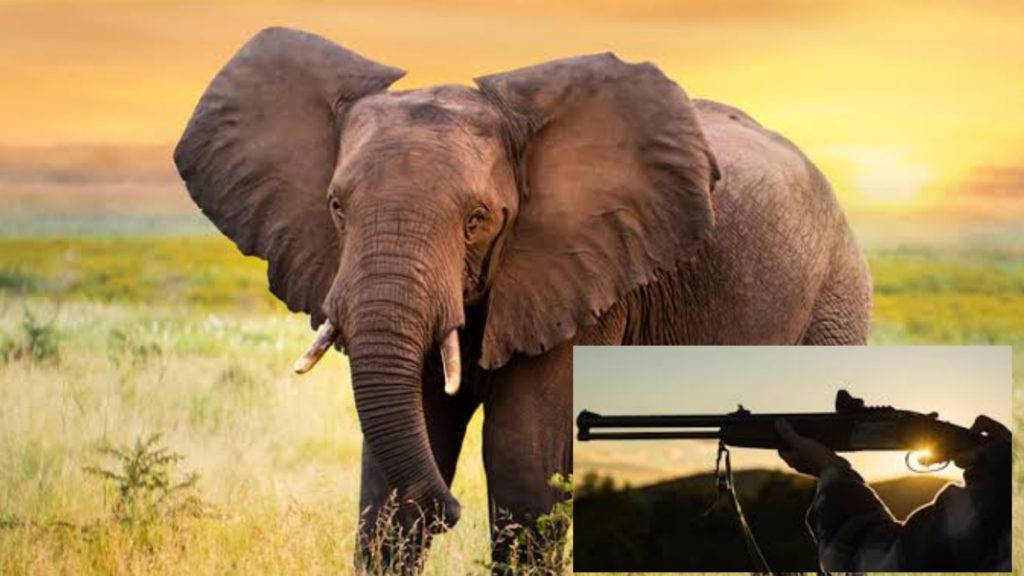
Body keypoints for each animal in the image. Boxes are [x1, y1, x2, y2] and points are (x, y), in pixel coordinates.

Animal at [174, 27, 871, 571]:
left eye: (478, 220)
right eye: (336, 207)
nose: (448, 513)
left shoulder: (589, 276)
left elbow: (521, 461)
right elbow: (393, 468)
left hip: (837, 289)